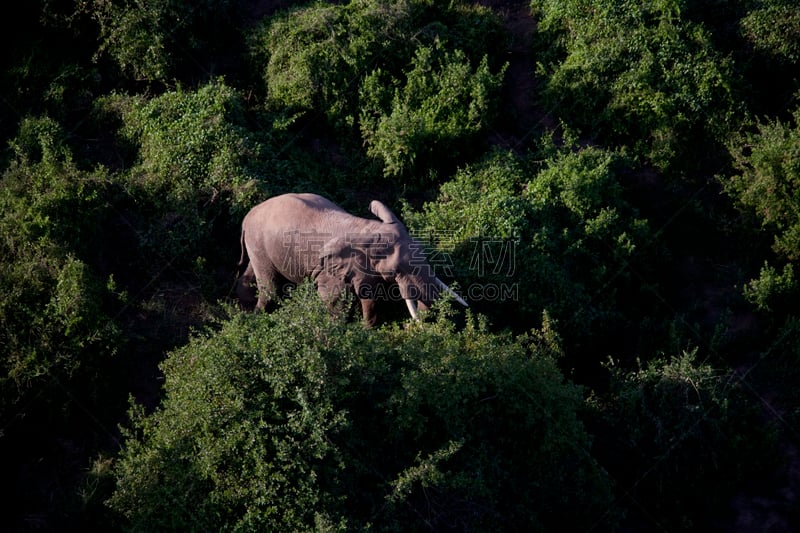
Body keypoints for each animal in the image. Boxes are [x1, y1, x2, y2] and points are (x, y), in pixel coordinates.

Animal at [234, 191, 466, 324]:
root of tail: (246, 217)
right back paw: (255, 317)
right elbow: (335, 299)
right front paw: (339, 330)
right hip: (259, 242)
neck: (368, 227)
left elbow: (369, 295)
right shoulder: (329, 269)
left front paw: (367, 329)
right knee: (270, 286)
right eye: (396, 271)